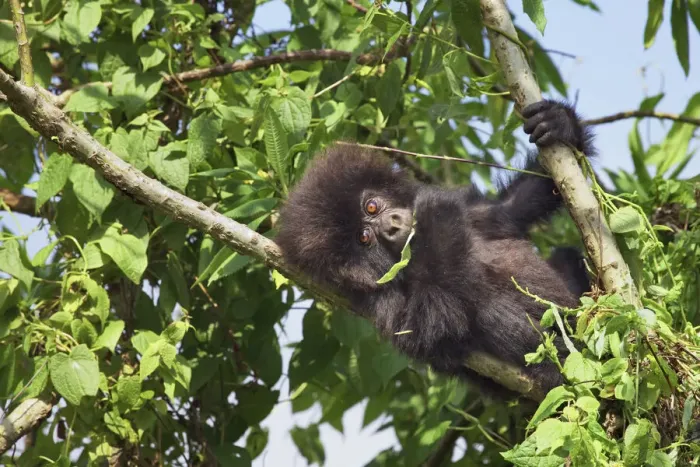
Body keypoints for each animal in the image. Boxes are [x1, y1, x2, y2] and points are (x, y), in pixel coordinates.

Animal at [275, 100, 595, 395]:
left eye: (371, 206)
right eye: (364, 238)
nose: (391, 225)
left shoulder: (475, 213)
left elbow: (516, 205)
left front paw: (559, 122)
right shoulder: (378, 300)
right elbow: (428, 329)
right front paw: (434, 217)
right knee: (490, 309)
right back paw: (554, 366)